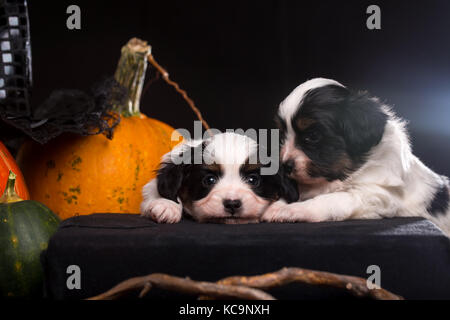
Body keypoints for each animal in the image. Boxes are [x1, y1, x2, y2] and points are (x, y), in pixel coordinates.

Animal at [264, 77, 450, 235]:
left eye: (313, 136)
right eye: (283, 135)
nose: (285, 166)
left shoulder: (376, 196)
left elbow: (331, 199)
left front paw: (291, 210)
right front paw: (279, 204)